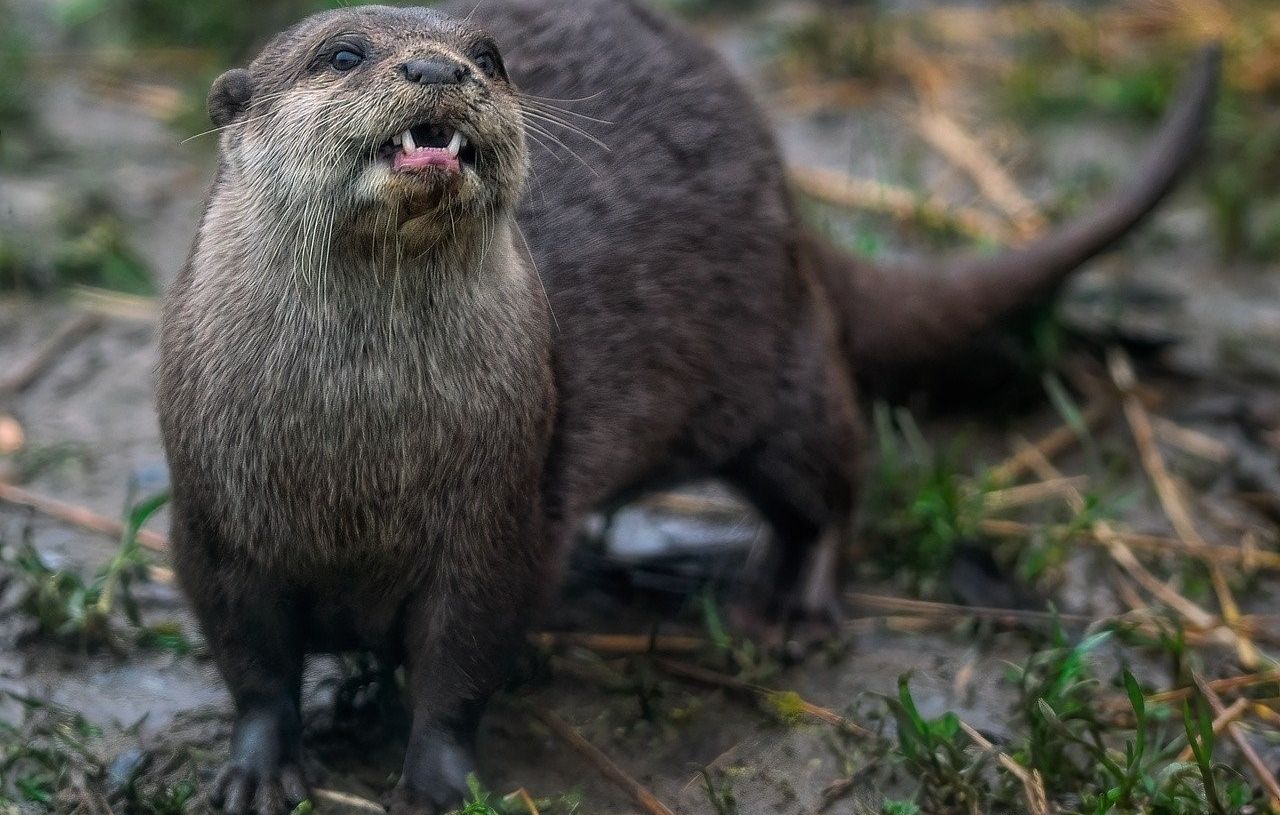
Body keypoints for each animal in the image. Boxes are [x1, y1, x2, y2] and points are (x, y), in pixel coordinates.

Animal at [157, 0, 1218, 808]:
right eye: (343, 53)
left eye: (489, 55)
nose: (439, 66)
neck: (356, 459)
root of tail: (792, 200)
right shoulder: (212, 522)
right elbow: (251, 661)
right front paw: (258, 768)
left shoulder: (501, 514)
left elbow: (461, 660)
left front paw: (437, 779)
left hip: (775, 366)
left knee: (834, 477)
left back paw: (791, 607)